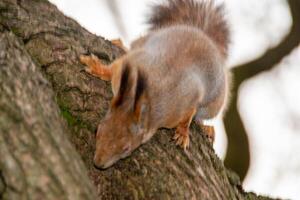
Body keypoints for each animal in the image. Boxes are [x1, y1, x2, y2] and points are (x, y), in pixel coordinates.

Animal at [79, 0, 230, 169]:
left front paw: (183, 132)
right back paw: (120, 44)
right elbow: (114, 68)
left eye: (126, 148)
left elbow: (188, 115)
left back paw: (206, 127)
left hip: (214, 104)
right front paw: (98, 68)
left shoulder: (184, 101)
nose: (98, 164)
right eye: (97, 129)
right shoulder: (132, 63)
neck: (142, 98)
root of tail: (204, 36)